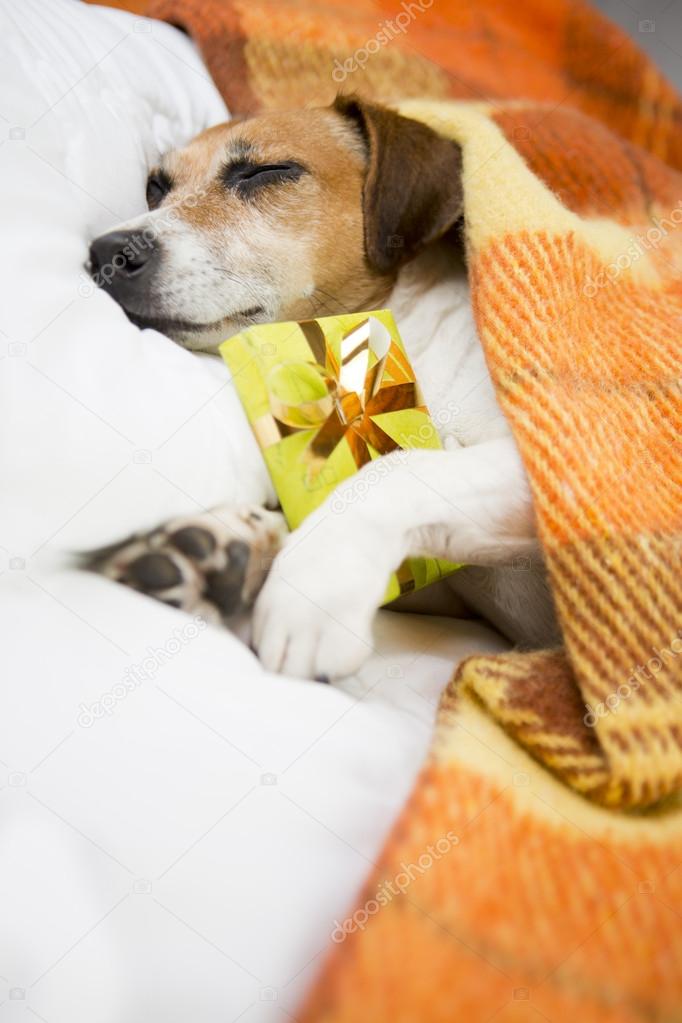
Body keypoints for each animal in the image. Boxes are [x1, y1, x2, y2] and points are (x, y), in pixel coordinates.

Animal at [89, 96, 560, 679]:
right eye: (156, 186)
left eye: (265, 171)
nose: (103, 254)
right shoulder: (451, 588)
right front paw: (232, 544)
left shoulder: (559, 459)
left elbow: (397, 472)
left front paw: (313, 584)